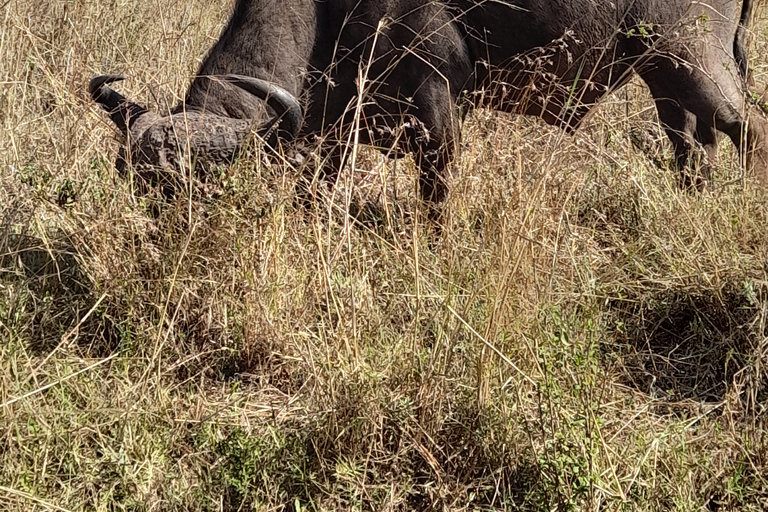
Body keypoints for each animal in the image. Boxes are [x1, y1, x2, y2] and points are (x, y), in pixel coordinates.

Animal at [91, 0, 768, 208]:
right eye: (132, 178)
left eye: (194, 186)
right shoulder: (331, 129)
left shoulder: (440, 106)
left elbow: (436, 194)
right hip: (664, 81)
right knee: (692, 146)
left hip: (696, 66)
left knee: (748, 129)